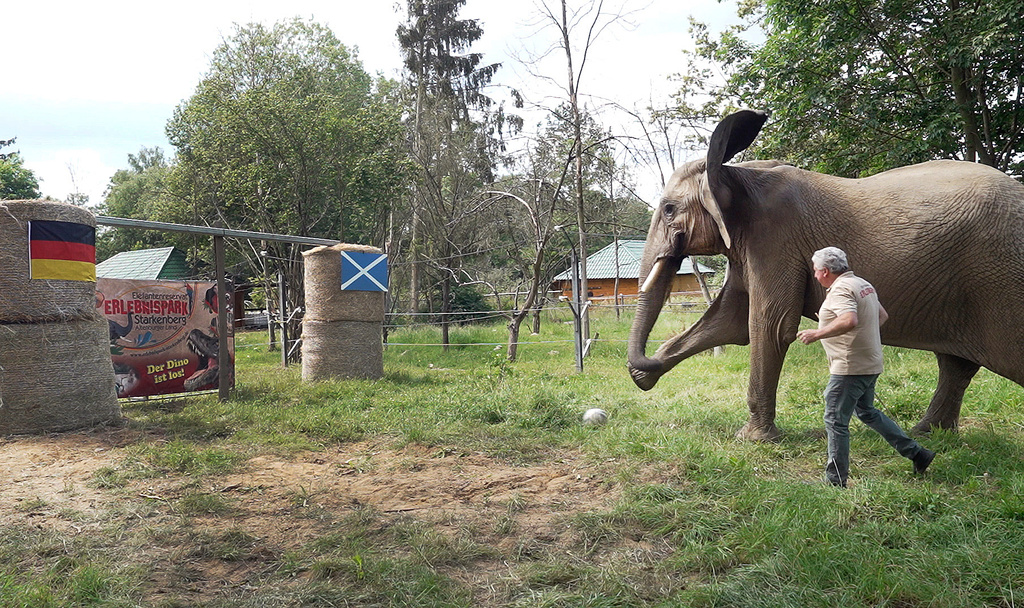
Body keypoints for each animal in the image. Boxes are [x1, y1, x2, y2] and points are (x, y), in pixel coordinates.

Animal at [626, 109, 1024, 440]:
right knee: (955, 366)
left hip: (1001, 278)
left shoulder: (775, 240)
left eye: (668, 209)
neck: (737, 171)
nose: (644, 364)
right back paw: (928, 433)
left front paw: (752, 440)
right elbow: (731, 321)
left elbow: (768, 325)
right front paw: (647, 373)